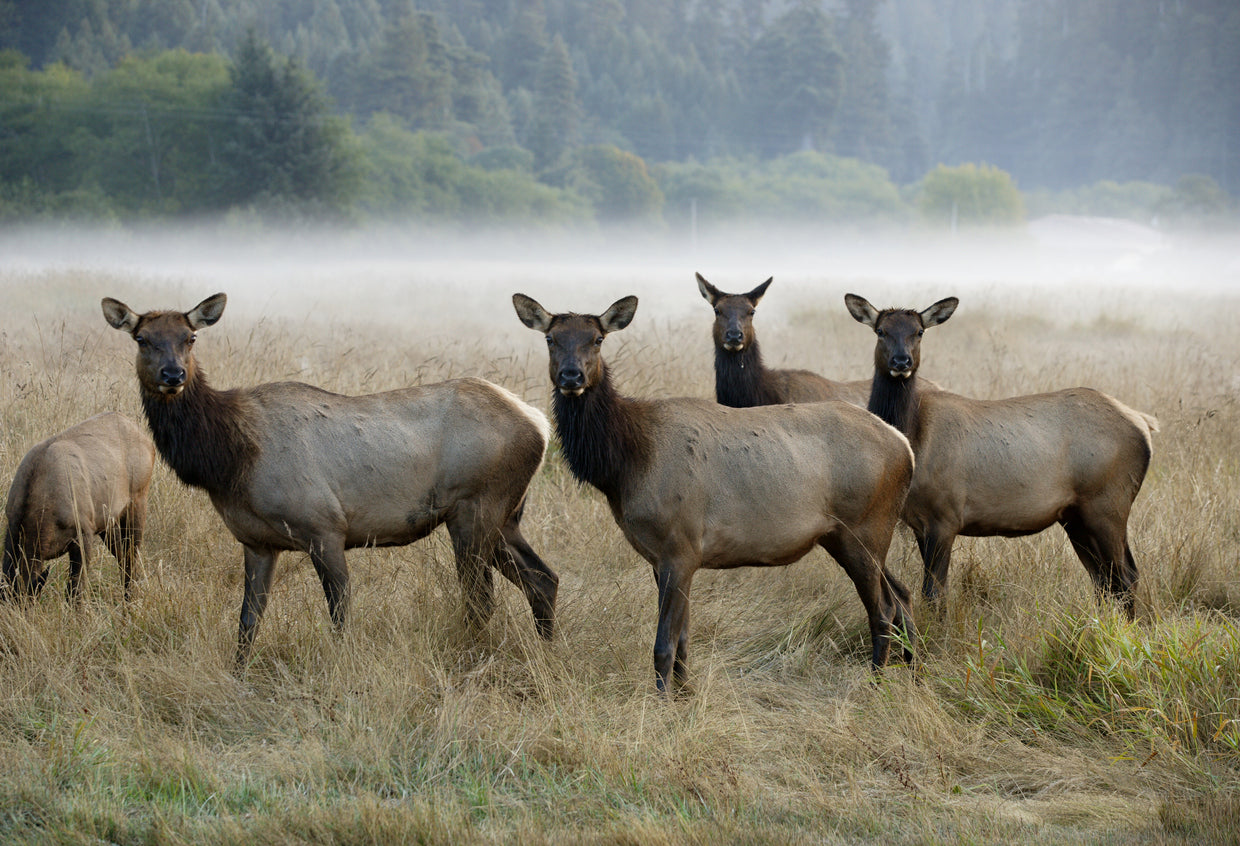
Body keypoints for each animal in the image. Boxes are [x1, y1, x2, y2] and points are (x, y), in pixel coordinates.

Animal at [4, 412, 155, 602]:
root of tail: (150, 444)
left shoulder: (83, 533)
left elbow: (75, 592)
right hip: (108, 521)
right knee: (122, 557)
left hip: (138, 501)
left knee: (131, 557)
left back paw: (130, 600)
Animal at [102, 293, 558, 665]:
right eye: (142, 339)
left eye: (190, 337)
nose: (173, 375)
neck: (229, 460)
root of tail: (539, 423)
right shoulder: (257, 541)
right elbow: (248, 621)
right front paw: (238, 676)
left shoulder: (325, 527)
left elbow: (339, 613)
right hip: (505, 516)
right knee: (542, 579)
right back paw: (547, 649)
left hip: (476, 506)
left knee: (482, 597)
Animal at [513, 292, 917, 693]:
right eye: (551, 339)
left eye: (597, 339)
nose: (571, 375)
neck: (627, 464)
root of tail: (905, 447)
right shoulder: (665, 557)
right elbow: (683, 639)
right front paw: (685, 693)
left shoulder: (680, 545)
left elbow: (663, 645)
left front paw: (664, 699)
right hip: (848, 536)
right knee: (900, 596)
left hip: (865, 527)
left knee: (884, 609)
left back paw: (876, 682)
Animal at [844, 293, 1158, 616]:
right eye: (881, 331)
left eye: (919, 332)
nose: (901, 361)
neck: (914, 440)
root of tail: (1144, 424)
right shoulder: (921, 523)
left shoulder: (945, 517)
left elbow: (934, 594)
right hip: (1076, 515)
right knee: (1104, 579)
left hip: (1108, 502)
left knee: (1125, 575)